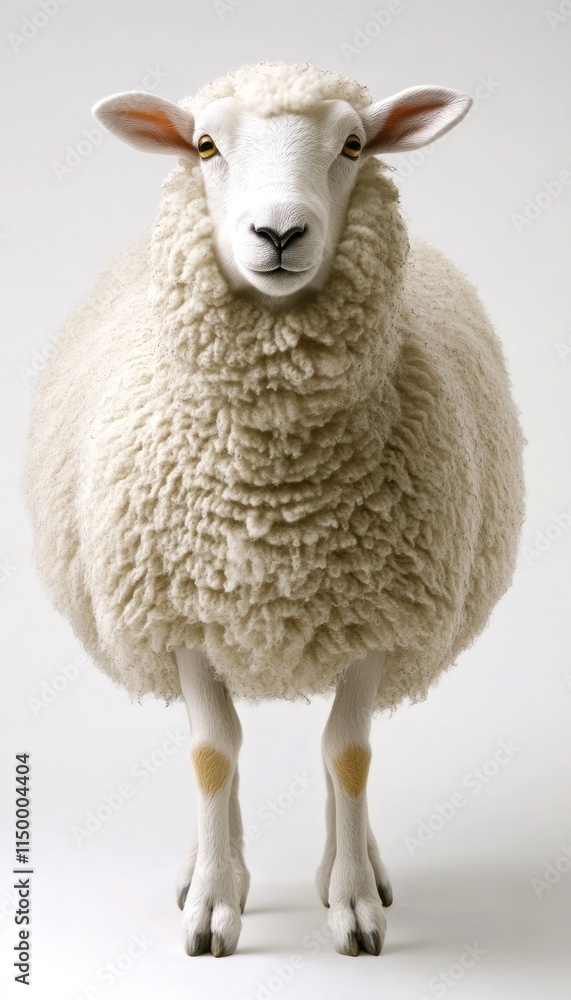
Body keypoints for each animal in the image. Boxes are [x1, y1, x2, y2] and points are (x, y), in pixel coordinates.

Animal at [24, 60, 525, 958]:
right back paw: (209, 864)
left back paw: (349, 869)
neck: (276, 500)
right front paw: (213, 904)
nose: (280, 232)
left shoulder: (377, 617)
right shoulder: (182, 617)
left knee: (336, 759)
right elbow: (212, 756)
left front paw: (353, 906)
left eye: (353, 144)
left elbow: (348, 755)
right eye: (204, 144)